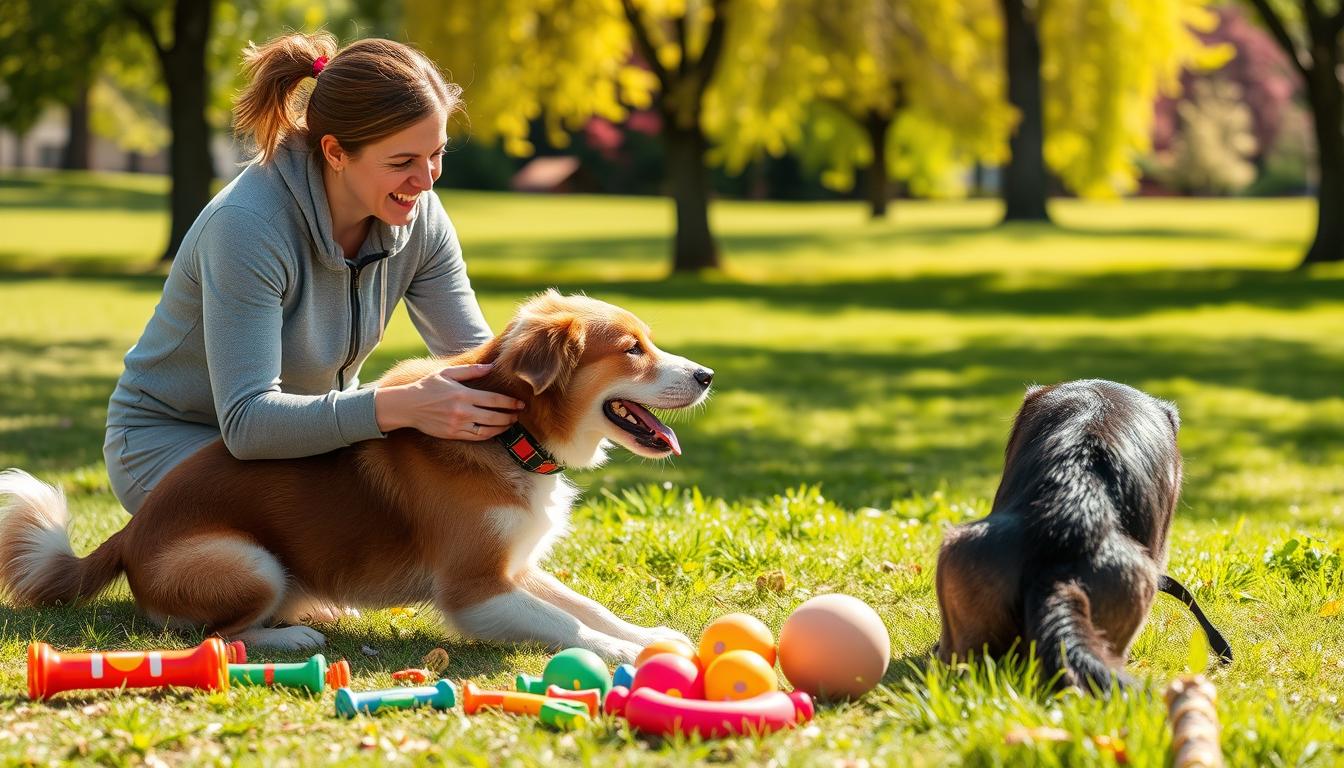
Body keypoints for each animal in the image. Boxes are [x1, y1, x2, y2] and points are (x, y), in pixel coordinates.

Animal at [0, 291, 709, 664]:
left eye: (648, 340)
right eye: (633, 350)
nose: (706, 375)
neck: (513, 436)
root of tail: (127, 535)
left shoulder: (513, 567)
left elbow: (585, 605)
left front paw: (649, 636)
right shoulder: (475, 588)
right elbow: (566, 625)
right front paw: (625, 655)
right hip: (250, 562)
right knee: (214, 637)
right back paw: (292, 634)